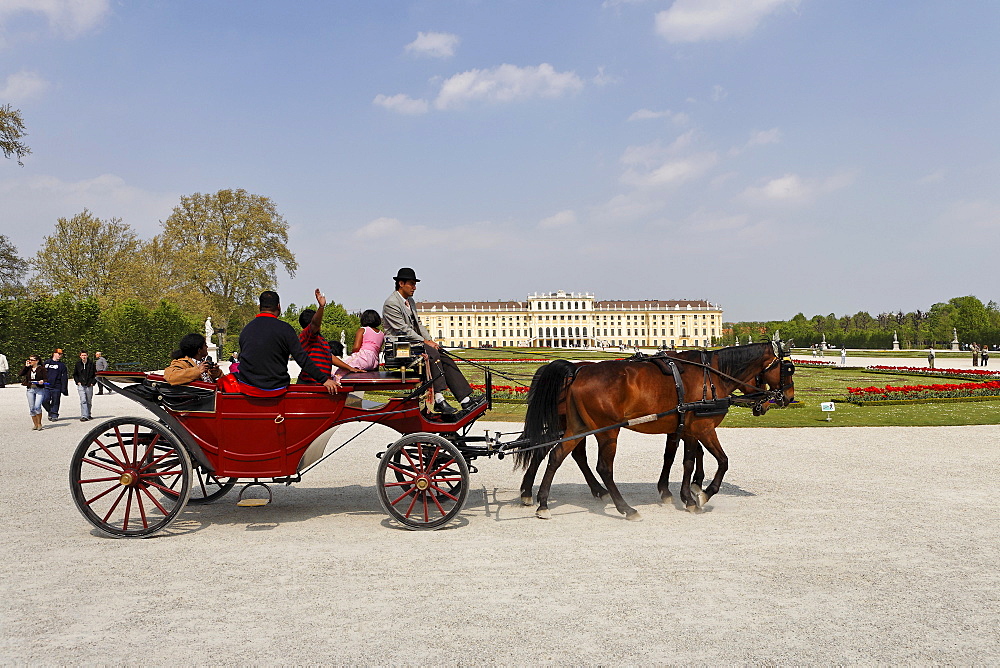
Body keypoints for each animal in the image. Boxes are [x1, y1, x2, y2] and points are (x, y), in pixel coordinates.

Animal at [512, 342, 792, 520]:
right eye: (789, 369)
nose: (787, 398)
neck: (711, 376)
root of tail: (578, 371)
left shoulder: (683, 428)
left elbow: (681, 458)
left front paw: (681, 493)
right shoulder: (702, 427)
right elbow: (720, 461)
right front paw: (701, 495)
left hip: (575, 426)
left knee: (556, 455)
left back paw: (543, 502)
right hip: (606, 431)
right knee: (601, 467)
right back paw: (625, 508)